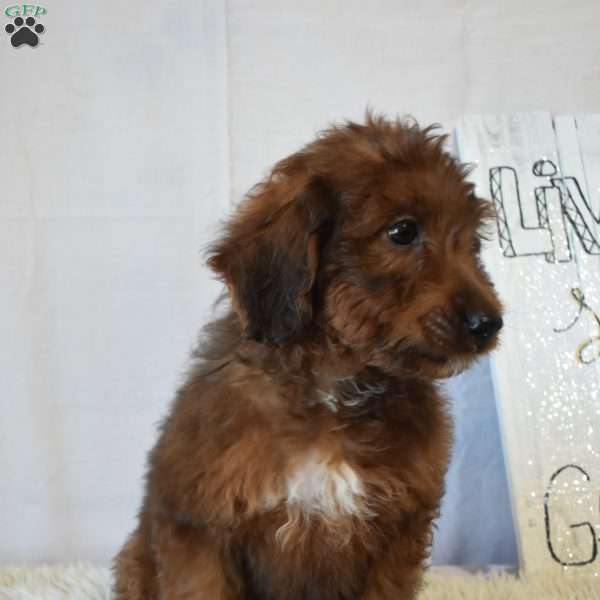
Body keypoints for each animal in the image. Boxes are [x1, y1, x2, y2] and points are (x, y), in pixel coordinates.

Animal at [111, 113, 502, 600]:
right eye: (403, 231)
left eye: (474, 243)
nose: (489, 324)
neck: (333, 392)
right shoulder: (199, 530)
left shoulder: (398, 536)